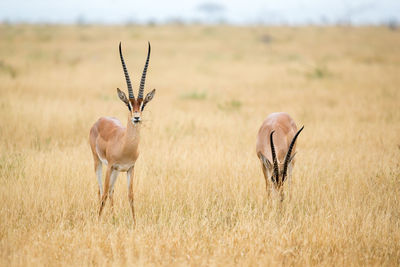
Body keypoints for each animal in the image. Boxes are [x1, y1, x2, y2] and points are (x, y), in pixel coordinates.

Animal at [89, 41, 156, 222]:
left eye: (143, 105)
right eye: (128, 104)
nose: (136, 117)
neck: (125, 145)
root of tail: (100, 120)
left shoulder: (130, 168)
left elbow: (130, 195)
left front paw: (134, 223)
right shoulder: (111, 166)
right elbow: (104, 194)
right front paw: (98, 221)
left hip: (116, 171)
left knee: (111, 191)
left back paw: (113, 218)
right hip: (98, 162)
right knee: (101, 190)